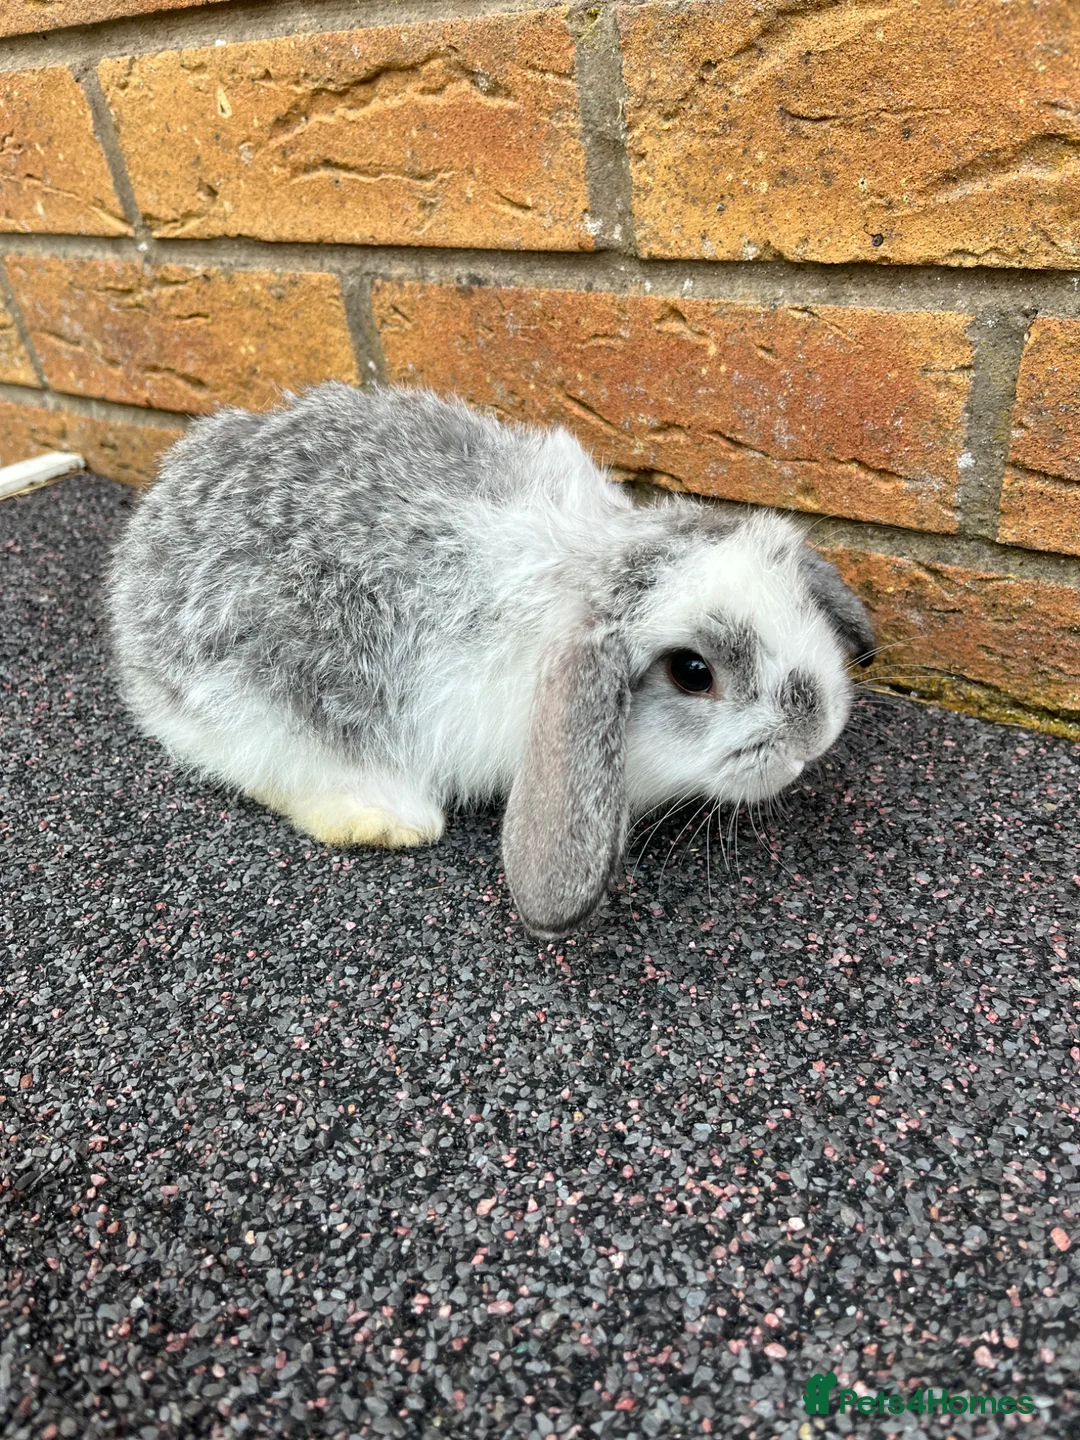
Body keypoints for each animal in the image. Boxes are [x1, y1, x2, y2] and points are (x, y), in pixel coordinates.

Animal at [107, 382, 873, 940]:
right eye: (693, 673)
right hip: (254, 715)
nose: (814, 737)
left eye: (797, 600)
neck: (584, 566)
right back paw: (389, 819)